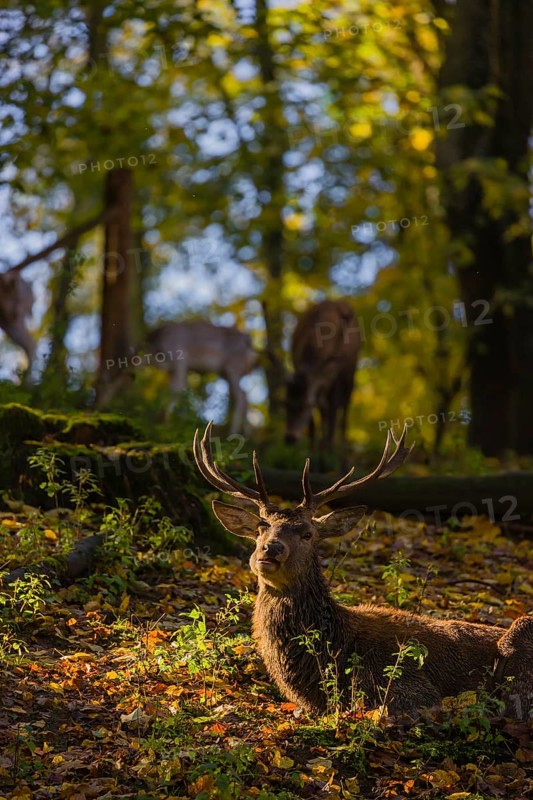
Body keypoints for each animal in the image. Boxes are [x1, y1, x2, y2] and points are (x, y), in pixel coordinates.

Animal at [285, 299, 360, 449]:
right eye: (286, 404)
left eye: (306, 406)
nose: (290, 438)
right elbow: (316, 419)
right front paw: (312, 448)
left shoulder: (338, 373)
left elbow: (333, 410)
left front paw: (329, 448)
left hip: (351, 370)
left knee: (344, 406)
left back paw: (341, 445)